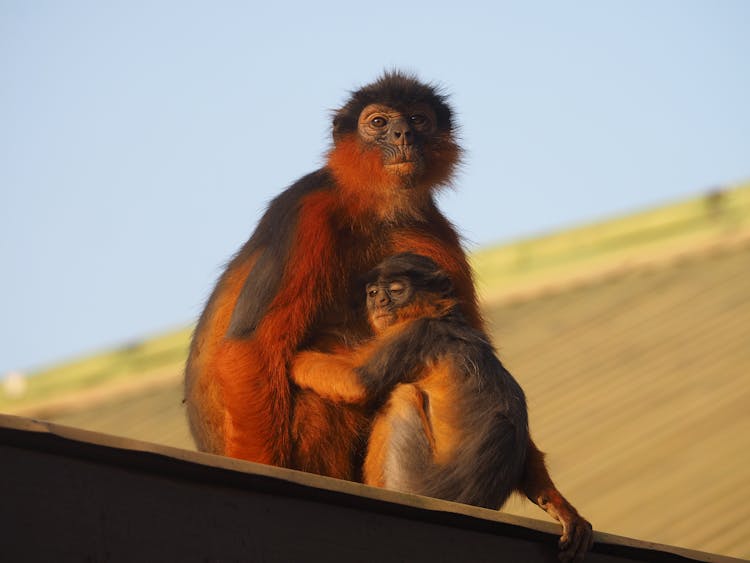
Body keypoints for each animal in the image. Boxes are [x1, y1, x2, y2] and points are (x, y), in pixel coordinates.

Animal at [183, 68, 478, 478]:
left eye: (418, 119)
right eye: (379, 123)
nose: (403, 134)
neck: (374, 209)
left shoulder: (432, 228)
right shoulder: (309, 211)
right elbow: (251, 346)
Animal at [292, 254, 592, 560]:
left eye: (396, 290)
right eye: (373, 293)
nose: (380, 302)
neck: (444, 317)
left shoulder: (416, 332)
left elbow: (358, 381)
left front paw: (294, 360)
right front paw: (562, 508)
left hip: (409, 477)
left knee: (403, 394)